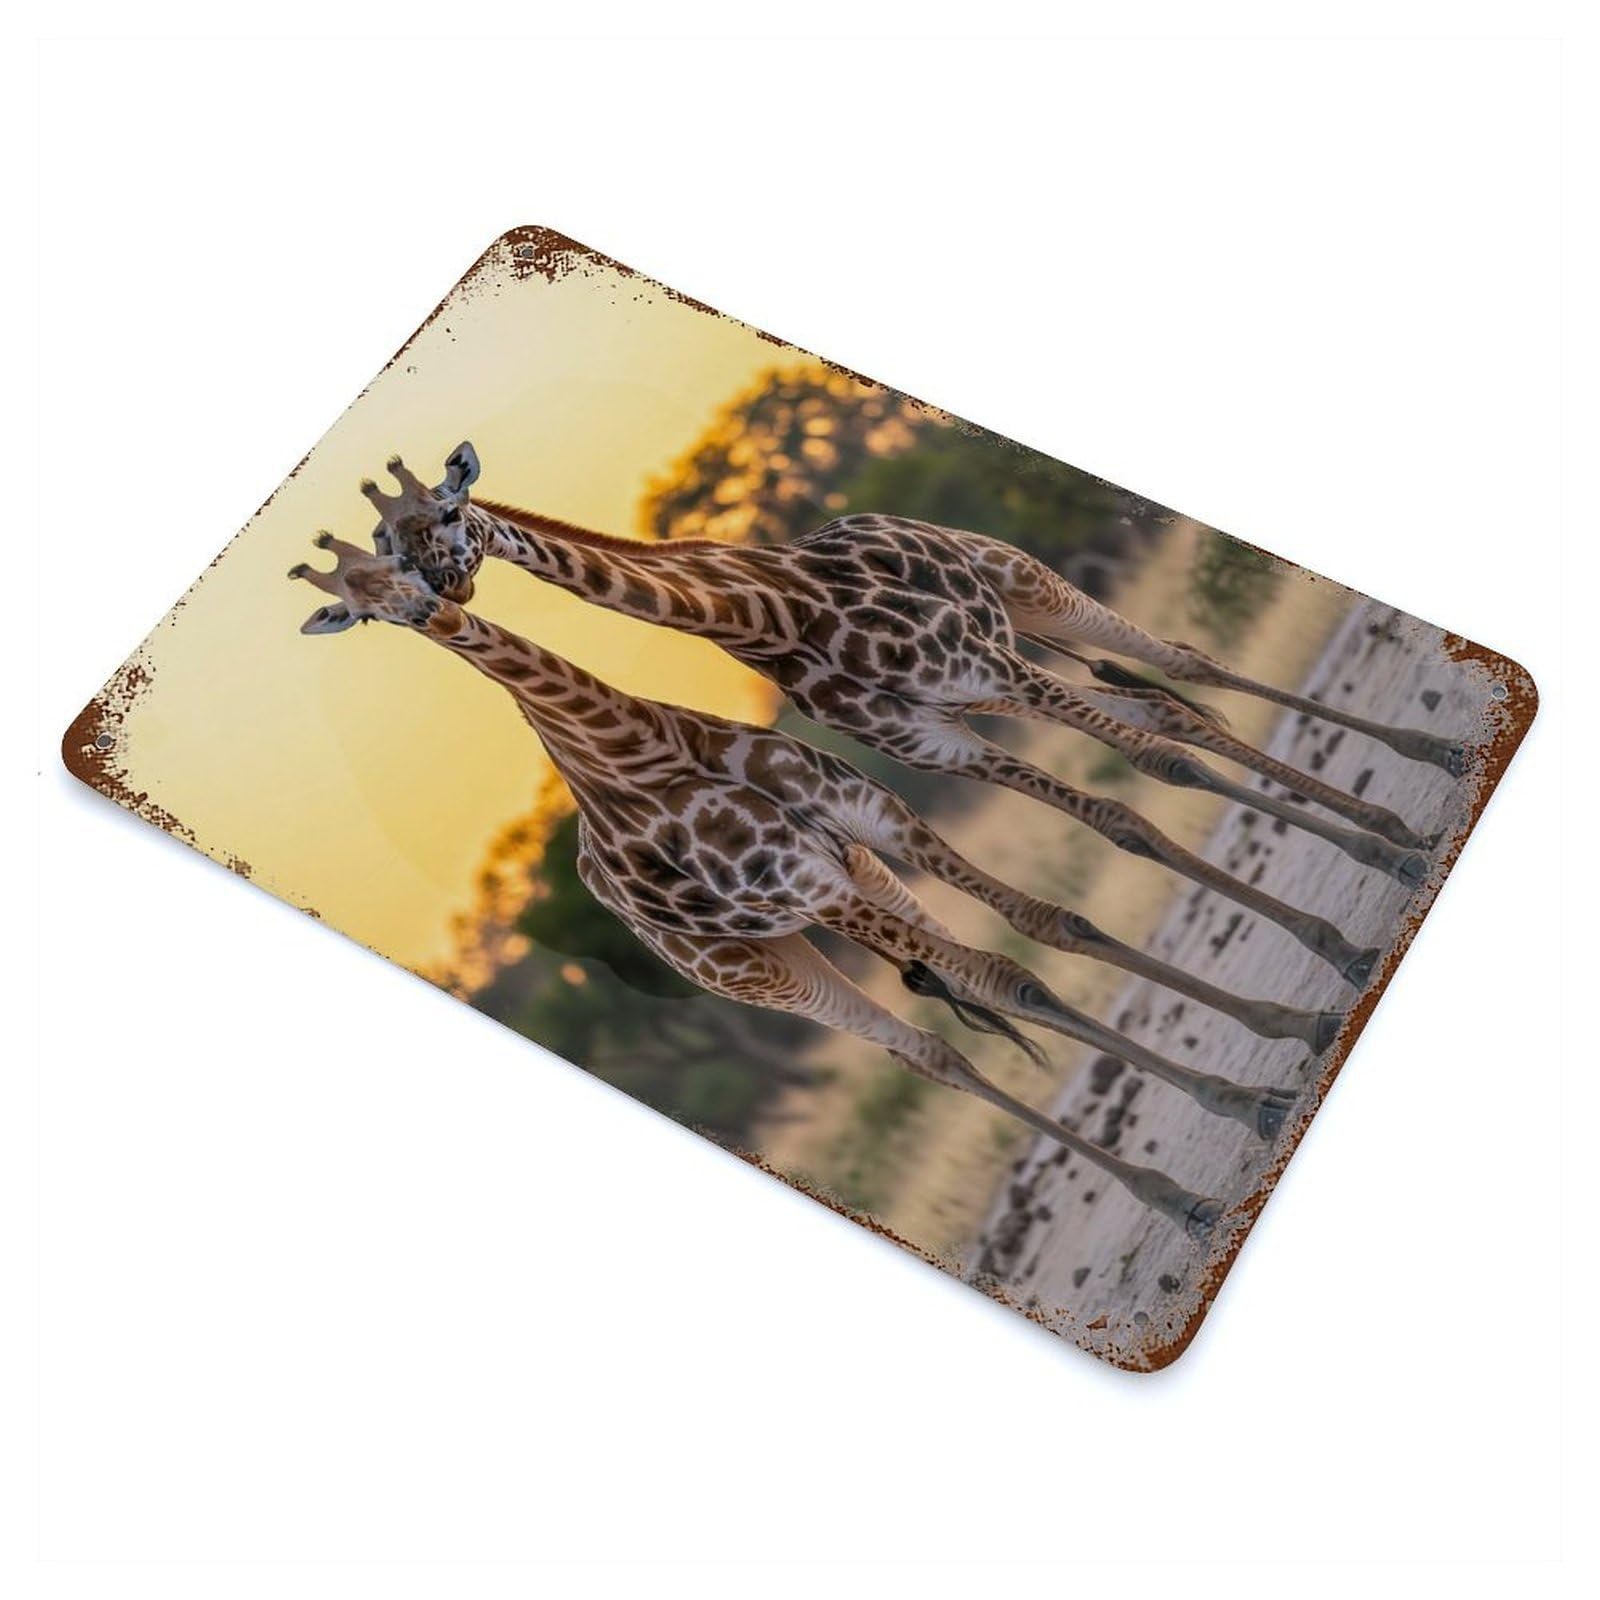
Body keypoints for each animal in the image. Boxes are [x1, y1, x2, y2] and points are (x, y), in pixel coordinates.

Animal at [291, 527, 1308, 1238]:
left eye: (435, 535)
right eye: (369, 600)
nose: (442, 608)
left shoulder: (876, 820)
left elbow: (1059, 901)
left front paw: (1282, 1030)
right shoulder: (846, 853)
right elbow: (1024, 949)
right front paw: (1259, 1074)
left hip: (1010, 623)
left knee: (1175, 682)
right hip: (764, 969)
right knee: (928, 1048)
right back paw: (1183, 1181)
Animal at [339, 443, 1445, 987]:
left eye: (447, 517)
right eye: (388, 551)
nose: (444, 591)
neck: (774, 611)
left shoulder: (987, 676)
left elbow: (1151, 773)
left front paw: (1369, 878)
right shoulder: (938, 741)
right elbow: (1122, 811)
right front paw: (1340, 923)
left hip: (1023, 602)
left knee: (1180, 671)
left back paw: (1410, 785)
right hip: (1006, 667)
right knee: (1159, 706)